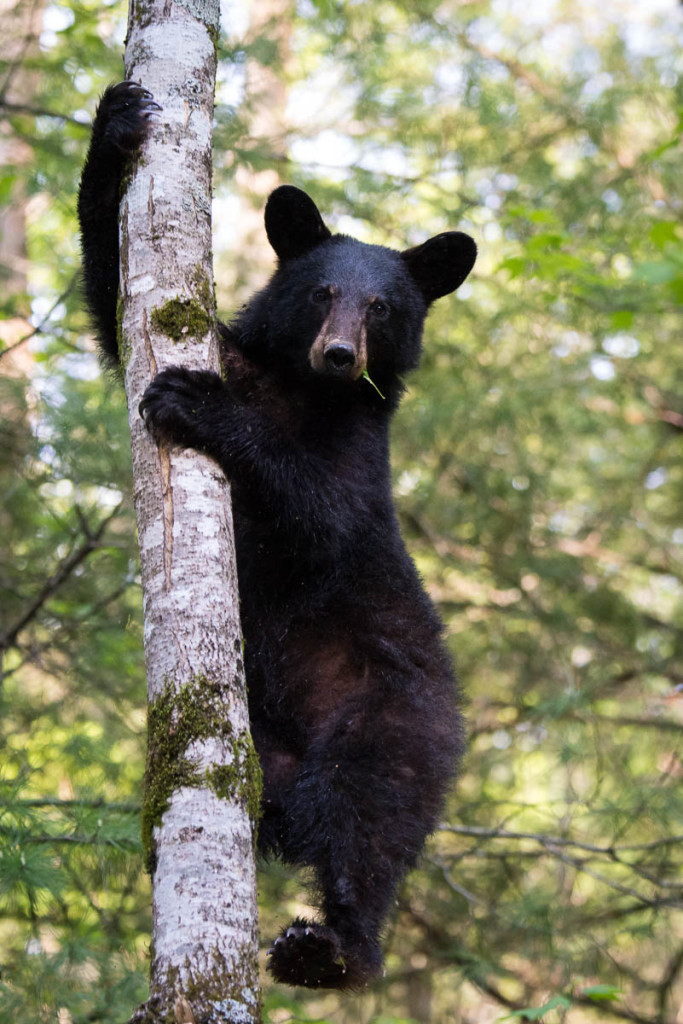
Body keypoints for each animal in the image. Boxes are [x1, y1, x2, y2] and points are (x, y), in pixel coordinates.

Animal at [78, 81, 475, 991]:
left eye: (381, 306)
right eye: (322, 292)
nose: (338, 354)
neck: (299, 389)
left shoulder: (358, 454)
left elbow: (318, 508)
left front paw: (197, 403)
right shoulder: (222, 345)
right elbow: (116, 299)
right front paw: (115, 126)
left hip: (390, 720)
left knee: (367, 823)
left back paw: (334, 948)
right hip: (263, 751)